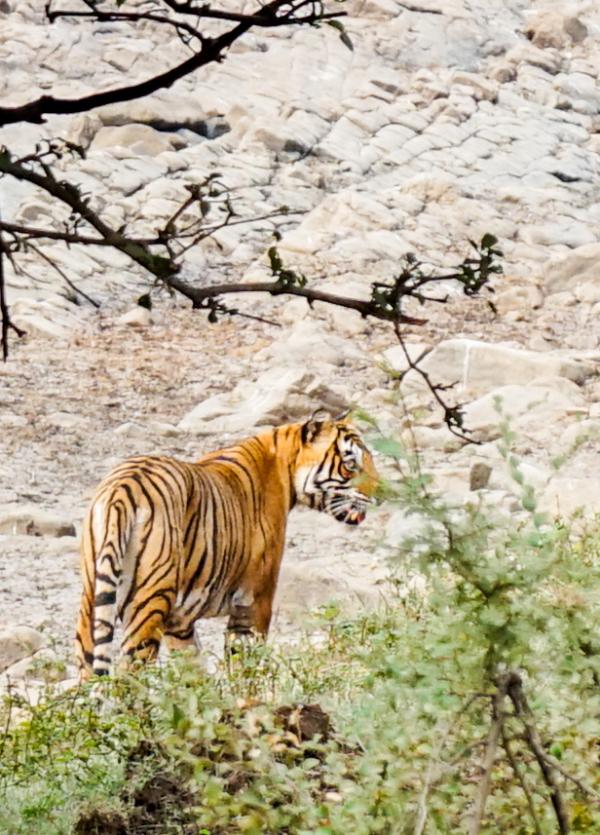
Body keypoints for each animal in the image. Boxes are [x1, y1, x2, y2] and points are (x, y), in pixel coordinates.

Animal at [75, 412, 379, 679]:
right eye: (350, 464)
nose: (381, 493)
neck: (283, 458)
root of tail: (123, 487)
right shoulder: (255, 601)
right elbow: (244, 668)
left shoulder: (180, 623)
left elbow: (193, 671)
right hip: (150, 601)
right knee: (129, 675)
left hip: (93, 599)